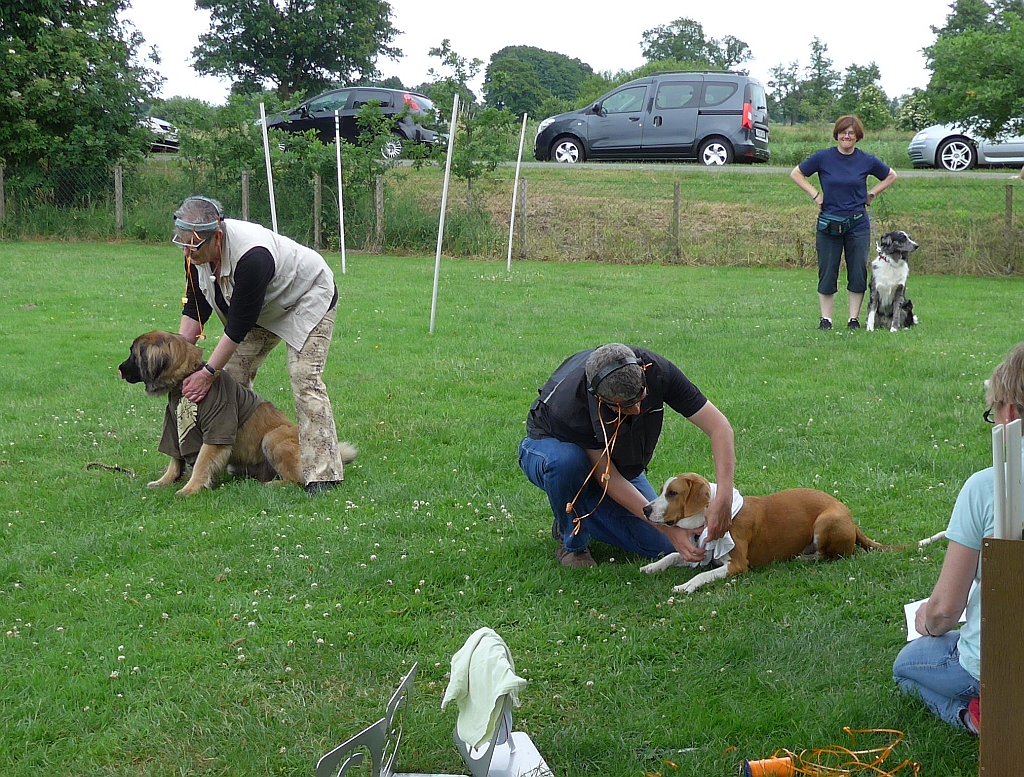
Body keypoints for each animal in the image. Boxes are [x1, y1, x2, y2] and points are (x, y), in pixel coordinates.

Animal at [116, 331, 354, 495]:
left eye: (133, 354)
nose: (119, 369)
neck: (185, 376)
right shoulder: (174, 427)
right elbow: (175, 458)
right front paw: (164, 481)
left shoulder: (217, 429)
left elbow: (201, 463)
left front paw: (190, 489)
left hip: (272, 438)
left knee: (296, 479)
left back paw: (274, 483)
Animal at [638, 470, 888, 593]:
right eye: (662, 490)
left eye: (672, 493)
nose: (645, 509)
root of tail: (850, 518)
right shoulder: (700, 554)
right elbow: (672, 555)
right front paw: (653, 566)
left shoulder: (737, 565)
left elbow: (702, 575)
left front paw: (686, 586)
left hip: (826, 520)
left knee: (833, 555)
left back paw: (804, 558)